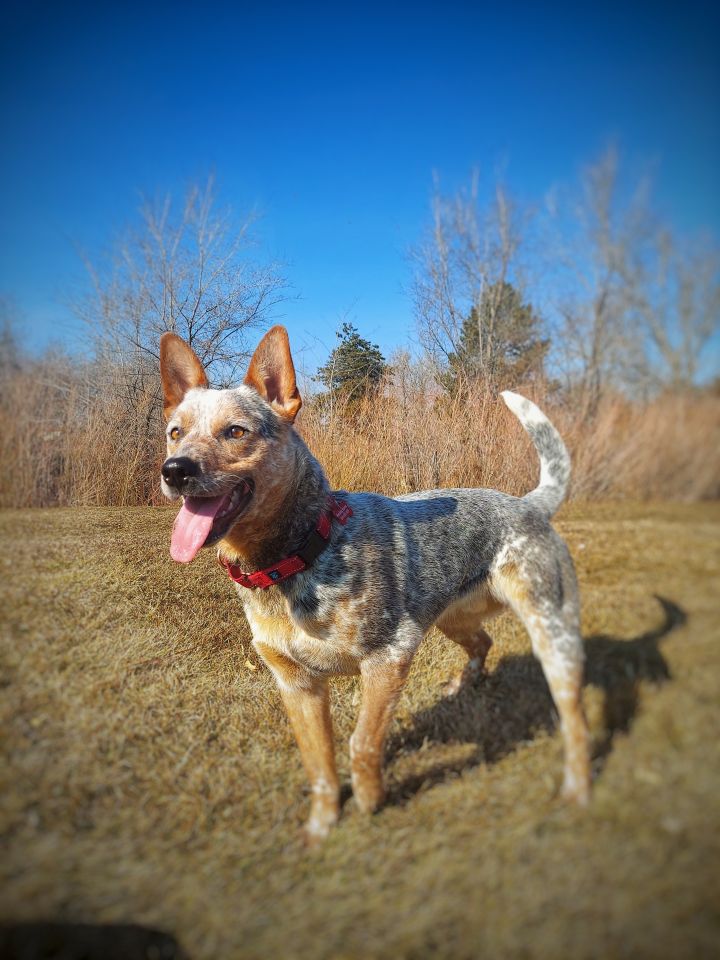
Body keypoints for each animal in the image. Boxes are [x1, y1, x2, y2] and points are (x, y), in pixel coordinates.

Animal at [162, 326, 592, 844]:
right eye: (175, 432)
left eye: (235, 431)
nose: (175, 470)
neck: (297, 558)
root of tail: (530, 503)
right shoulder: (296, 684)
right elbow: (320, 766)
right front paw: (321, 827)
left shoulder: (388, 658)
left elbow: (362, 743)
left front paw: (370, 802)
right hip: (452, 620)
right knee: (483, 642)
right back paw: (461, 686)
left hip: (553, 635)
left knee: (577, 720)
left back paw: (576, 790)